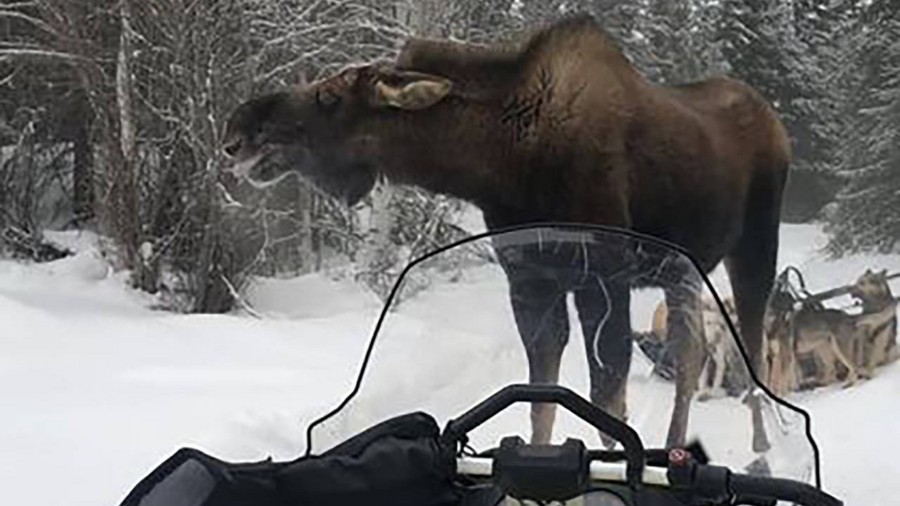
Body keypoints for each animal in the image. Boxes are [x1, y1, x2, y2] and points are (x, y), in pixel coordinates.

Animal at [223, 14, 788, 450]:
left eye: (329, 94)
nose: (235, 130)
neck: (502, 162)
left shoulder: (602, 279)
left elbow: (607, 405)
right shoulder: (531, 283)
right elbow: (543, 401)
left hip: (754, 249)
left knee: (752, 350)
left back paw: (763, 445)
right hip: (683, 271)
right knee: (691, 355)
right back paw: (676, 445)